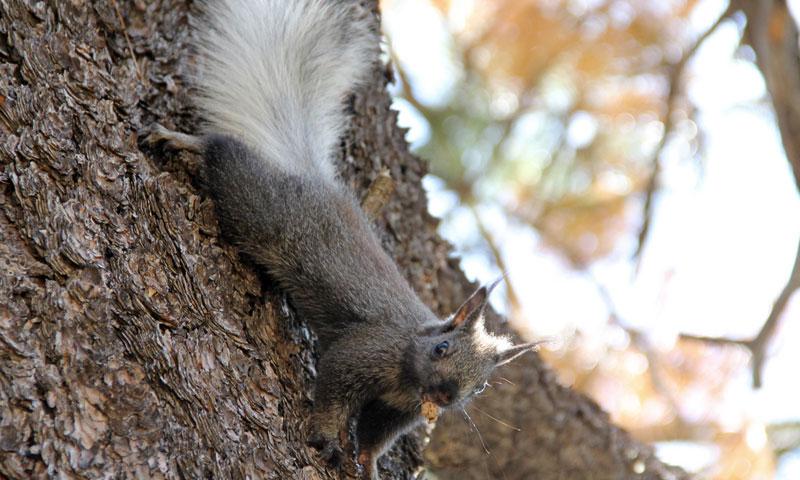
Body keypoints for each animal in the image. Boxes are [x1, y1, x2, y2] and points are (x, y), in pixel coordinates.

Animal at [146, 0, 539, 478]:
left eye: (481, 387)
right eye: (442, 348)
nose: (446, 396)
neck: (407, 378)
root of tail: (315, 180)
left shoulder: (397, 411)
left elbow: (373, 437)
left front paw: (367, 465)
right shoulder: (366, 350)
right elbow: (334, 389)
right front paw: (328, 437)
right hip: (261, 208)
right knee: (224, 154)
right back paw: (182, 140)